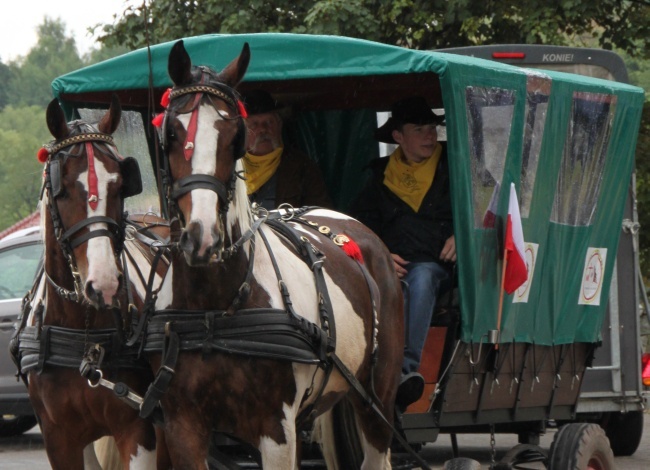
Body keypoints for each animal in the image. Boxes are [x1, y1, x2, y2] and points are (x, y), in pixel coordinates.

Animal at [10, 97, 167, 468]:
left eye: (120, 185)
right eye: (62, 189)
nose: (104, 284)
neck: (81, 333)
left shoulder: (137, 430)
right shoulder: (59, 440)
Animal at [143, 40, 400, 470]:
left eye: (235, 136)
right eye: (172, 133)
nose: (202, 238)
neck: (216, 309)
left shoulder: (275, 429)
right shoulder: (183, 426)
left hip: (375, 401)